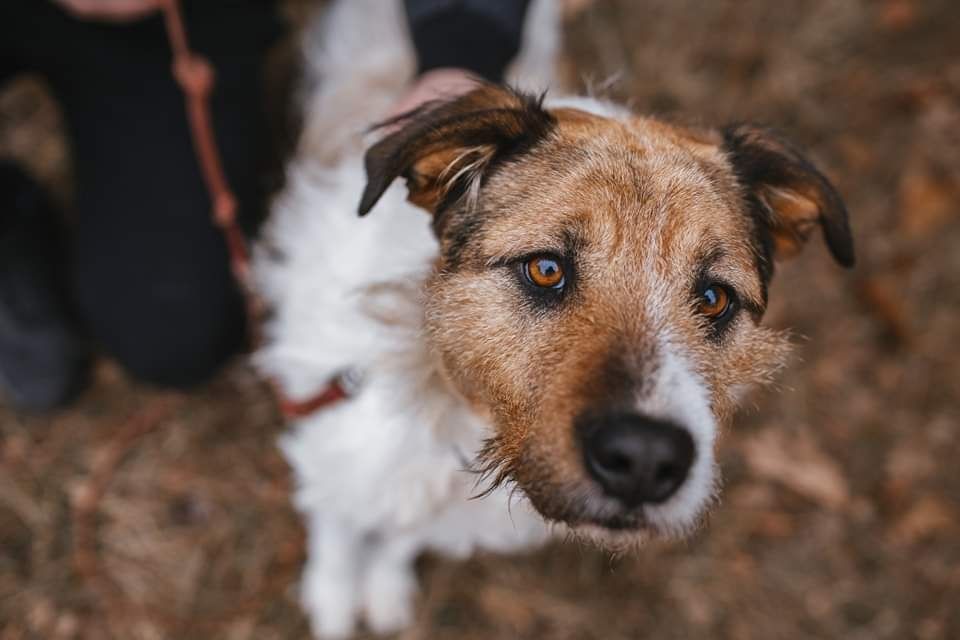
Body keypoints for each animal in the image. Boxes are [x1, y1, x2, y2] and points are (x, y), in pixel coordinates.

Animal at [249, 2, 856, 636]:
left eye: (714, 298)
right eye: (545, 269)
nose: (645, 460)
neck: (455, 403)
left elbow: (399, 538)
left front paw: (385, 588)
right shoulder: (337, 444)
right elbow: (339, 529)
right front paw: (334, 603)